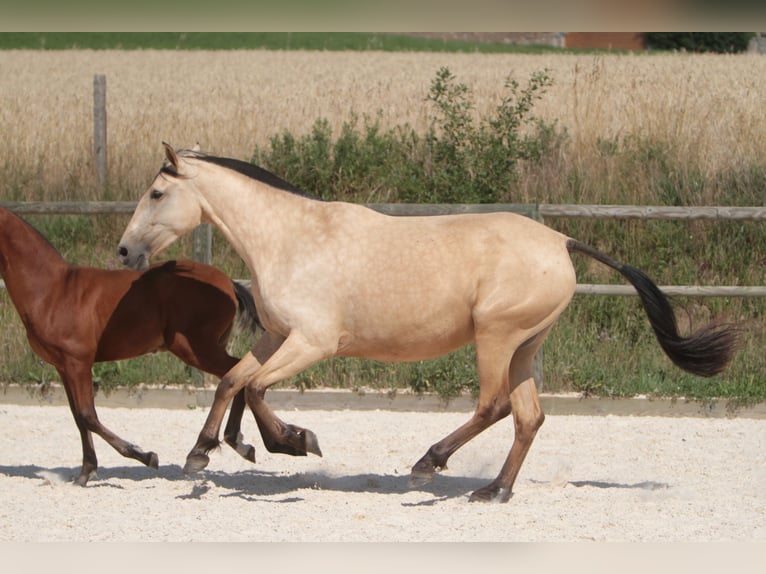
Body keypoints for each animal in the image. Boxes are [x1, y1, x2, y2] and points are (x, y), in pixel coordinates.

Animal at [0, 206, 267, 485]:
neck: (53, 290)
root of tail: (228, 283)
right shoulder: (63, 367)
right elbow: (78, 417)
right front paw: (86, 472)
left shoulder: (78, 362)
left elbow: (87, 415)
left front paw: (145, 456)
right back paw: (237, 442)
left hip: (194, 348)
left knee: (234, 374)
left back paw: (223, 445)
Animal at [117, 143, 740, 503]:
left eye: (157, 192)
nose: (124, 252)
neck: (291, 240)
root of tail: (562, 240)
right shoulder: (275, 337)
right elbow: (233, 381)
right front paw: (206, 451)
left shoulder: (313, 343)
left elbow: (256, 389)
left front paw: (291, 442)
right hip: (524, 346)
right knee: (528, 417)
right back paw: (494, 491)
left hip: (496, 338)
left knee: (493, 405)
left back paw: (429, 464)